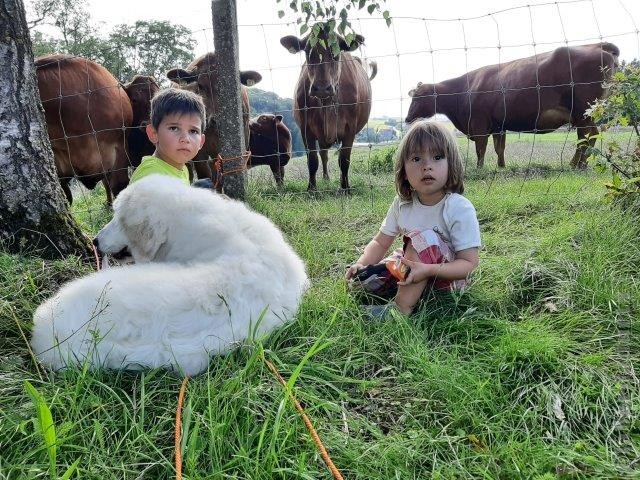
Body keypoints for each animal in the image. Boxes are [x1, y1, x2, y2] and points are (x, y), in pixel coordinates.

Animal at [280, 26, 376, 190]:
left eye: (336, 52)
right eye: (307, 51)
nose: (321, 88)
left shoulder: (350, 128)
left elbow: (344, 160)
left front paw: (345, 187)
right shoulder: (306, 129)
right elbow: (312, 160)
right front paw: (311, 189)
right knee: (323, 154)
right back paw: (325, 178)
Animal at [404, 42, 620, 169]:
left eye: (418, 97)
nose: (406, 118)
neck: (464, 90)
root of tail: (597, 45)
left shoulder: (479, 124)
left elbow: (481, 149)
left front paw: (479, 169)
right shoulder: (498, 125)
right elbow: (499, 148)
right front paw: (501, 167)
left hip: (583, 113)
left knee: (584, 138)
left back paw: (575, 164)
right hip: (587, 114)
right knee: (591, 136)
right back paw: (581, 164)